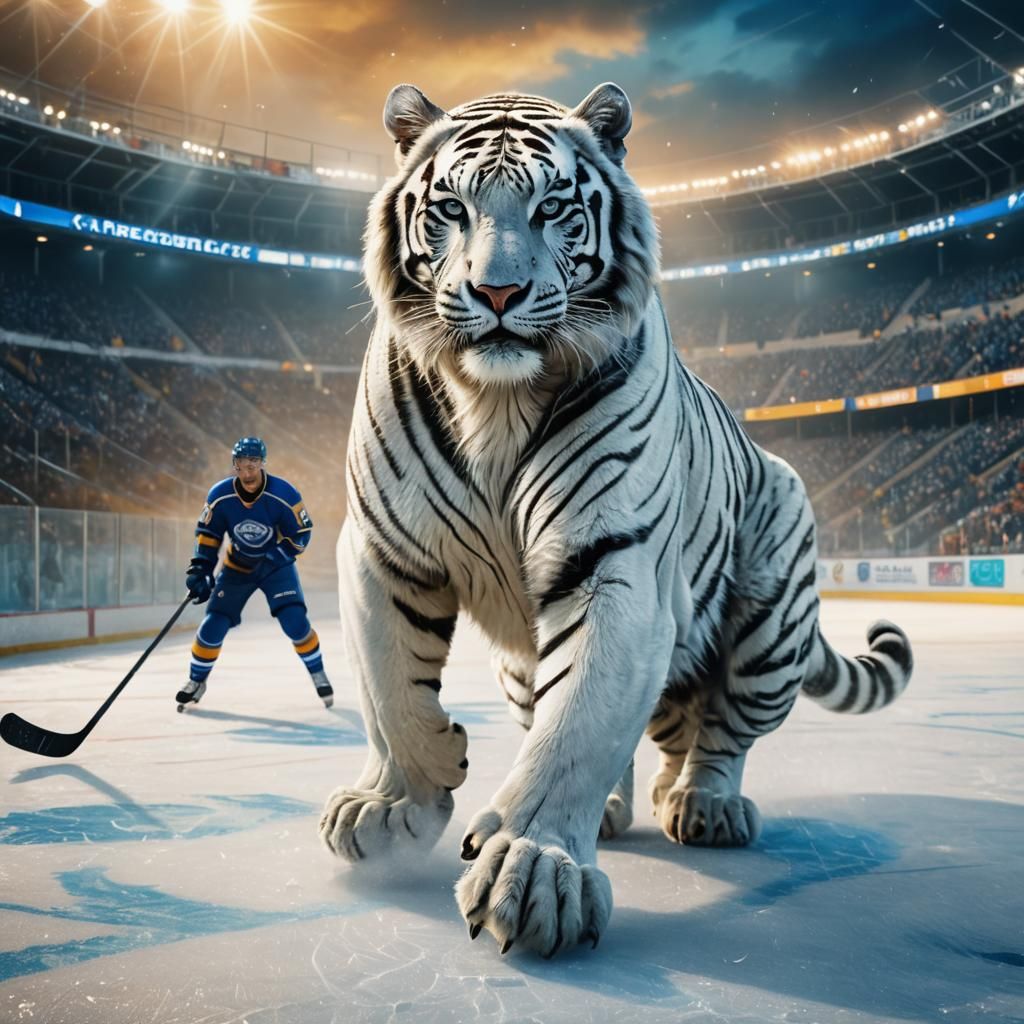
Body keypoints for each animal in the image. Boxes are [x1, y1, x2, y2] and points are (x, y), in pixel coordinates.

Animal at [318, 81, 914, 957]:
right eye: (453, 209)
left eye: (552, 208)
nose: (499, 294)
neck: (494, 400)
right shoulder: (380, 549)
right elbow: (389, 690)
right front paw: (400, 805)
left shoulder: (614, 565)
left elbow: (578, 726)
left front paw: (533, 871)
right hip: (525, 662)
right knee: (648, 725)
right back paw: (626, 804)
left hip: (769, 624)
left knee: (723, 731)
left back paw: (704, 804)